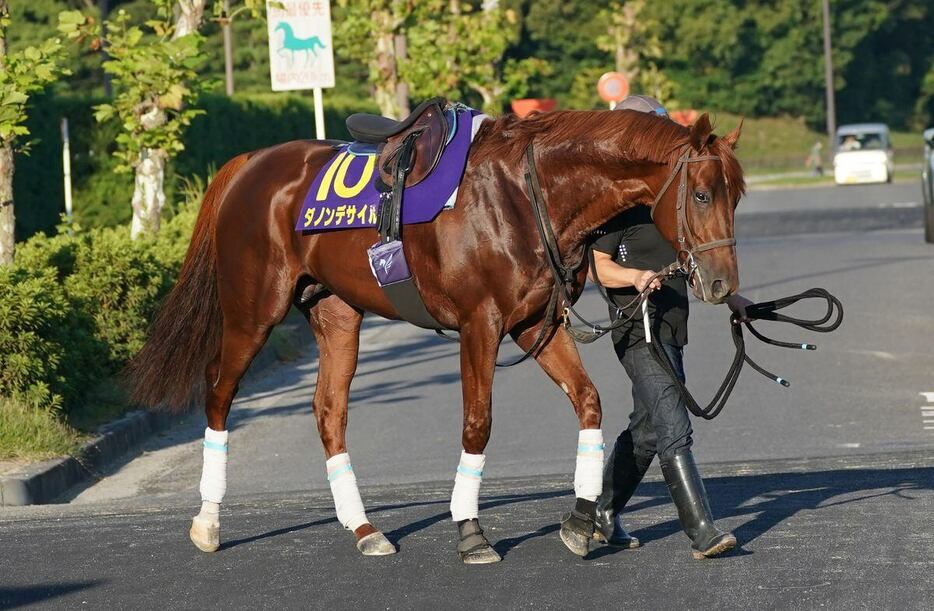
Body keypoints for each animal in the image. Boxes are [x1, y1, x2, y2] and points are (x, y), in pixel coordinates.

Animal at [130, 109, 744, 564]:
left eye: (735, 196)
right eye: (702, 195)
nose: (720, 283)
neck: (523, 196)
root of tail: (250, 164)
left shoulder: (534, 323)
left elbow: (589, 402)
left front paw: (582, 520)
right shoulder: (480, 324)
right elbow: (478, 422)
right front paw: (470, 531)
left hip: (336, 312)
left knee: (329, 410)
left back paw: (364, 528)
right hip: (253, 311)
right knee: (218, 391)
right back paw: (208, 522)